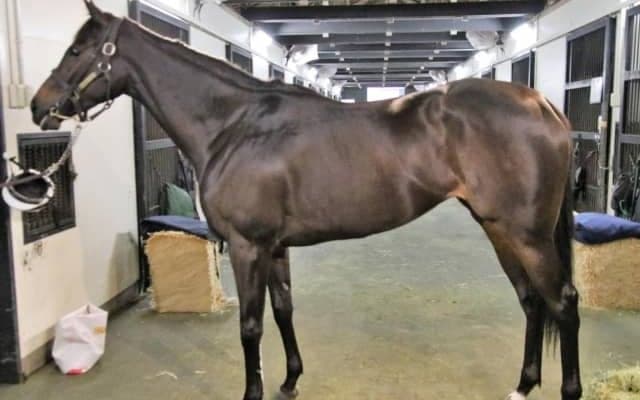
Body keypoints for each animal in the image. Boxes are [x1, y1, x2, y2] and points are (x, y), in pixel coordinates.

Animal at [30, 2, 582, 399]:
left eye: (78, 50)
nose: (39, 106)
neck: (234, 125)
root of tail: (543, 104)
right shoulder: (274, 247)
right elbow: (282, 311)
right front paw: (290, 380)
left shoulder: (248, 247)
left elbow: (251, 327)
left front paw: (253, 392)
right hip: (499, 228)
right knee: (532, 301)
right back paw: (523, 384)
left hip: (527, 235)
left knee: (563, 302)